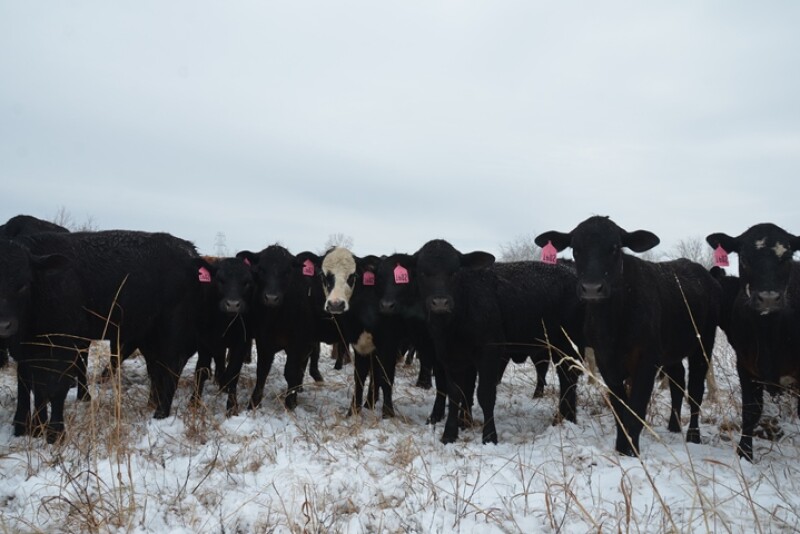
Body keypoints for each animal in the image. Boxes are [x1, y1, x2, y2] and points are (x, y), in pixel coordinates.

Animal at [1, 230, 202, 442]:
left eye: (24, 284)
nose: (4, 325)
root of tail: (189, 250)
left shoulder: (65, 346)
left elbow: (56, 388)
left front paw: (55, 432)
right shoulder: (26, 351)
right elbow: (31, 386)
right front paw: (31, 428)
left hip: (173, 329)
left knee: (171, 368)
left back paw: (161, 414)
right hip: (148, 334)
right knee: (157, 369)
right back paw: (152, 405)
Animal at [192, 256, 256, 415]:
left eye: (247, 282)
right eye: (220, 280)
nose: (232, 304)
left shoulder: (241, 343)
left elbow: (233, 372)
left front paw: (232, 408)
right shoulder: (203, 340)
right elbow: (201, 369)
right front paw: (194, 402)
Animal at [410, 239, 585, 445]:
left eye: (455, 272)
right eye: (422, 272)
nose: (440, 302)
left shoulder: (489, 352)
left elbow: (485, 394)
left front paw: (489, 437)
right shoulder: (450, 355)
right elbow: (454, 393)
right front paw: (449, 434)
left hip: (568, 345)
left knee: (569, 379)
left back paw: (566, 419)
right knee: (567, 378)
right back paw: (564, 419)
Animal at [536, 216, 720, 457]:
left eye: (615, 247)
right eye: (575, 248)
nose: (592, 288)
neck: (614, 324)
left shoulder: (646, 360)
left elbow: (636, 408)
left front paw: (631, 450)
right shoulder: (605, 361)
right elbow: (620, 407)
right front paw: (621, 447)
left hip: (703, 343)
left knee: (696, 389)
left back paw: (693, 436)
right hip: (672, 350)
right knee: (678, 380)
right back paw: (673, 426)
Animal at [706, 223, 800, 461]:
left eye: (787, 256)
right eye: (744, 258)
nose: (768, 298)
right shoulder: (746, 365)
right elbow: (750, 410)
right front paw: (744, 453)